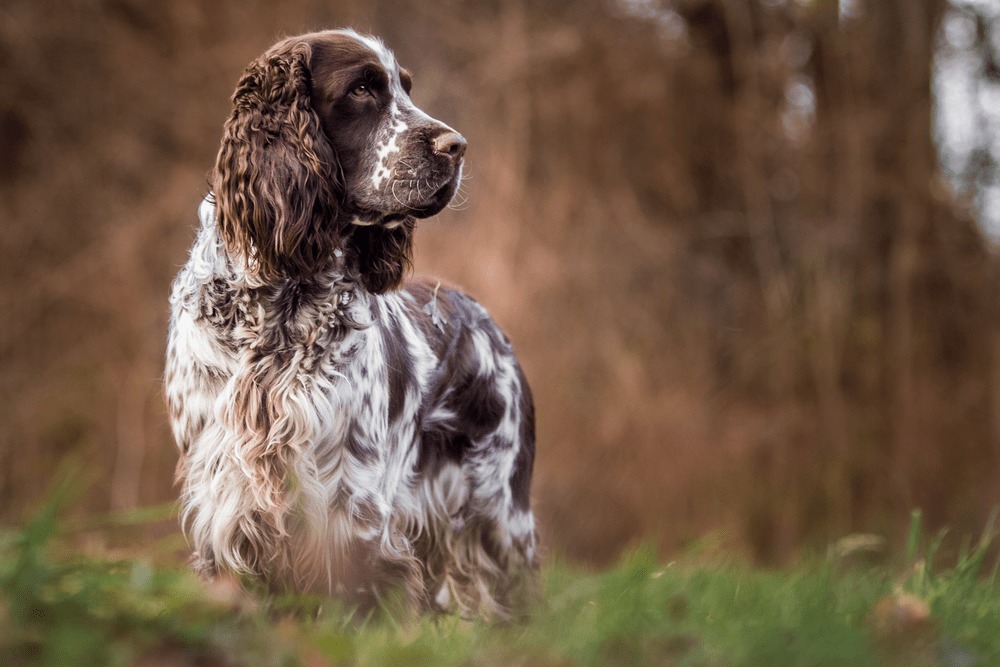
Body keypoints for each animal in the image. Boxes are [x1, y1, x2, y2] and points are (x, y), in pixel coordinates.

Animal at [165, 30, 540, 616]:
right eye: (363, 89)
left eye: (406, 88)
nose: (457, 146)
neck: (280, 305)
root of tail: (483, 316)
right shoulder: (223, 505)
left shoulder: (354, 514)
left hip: (500, 517)